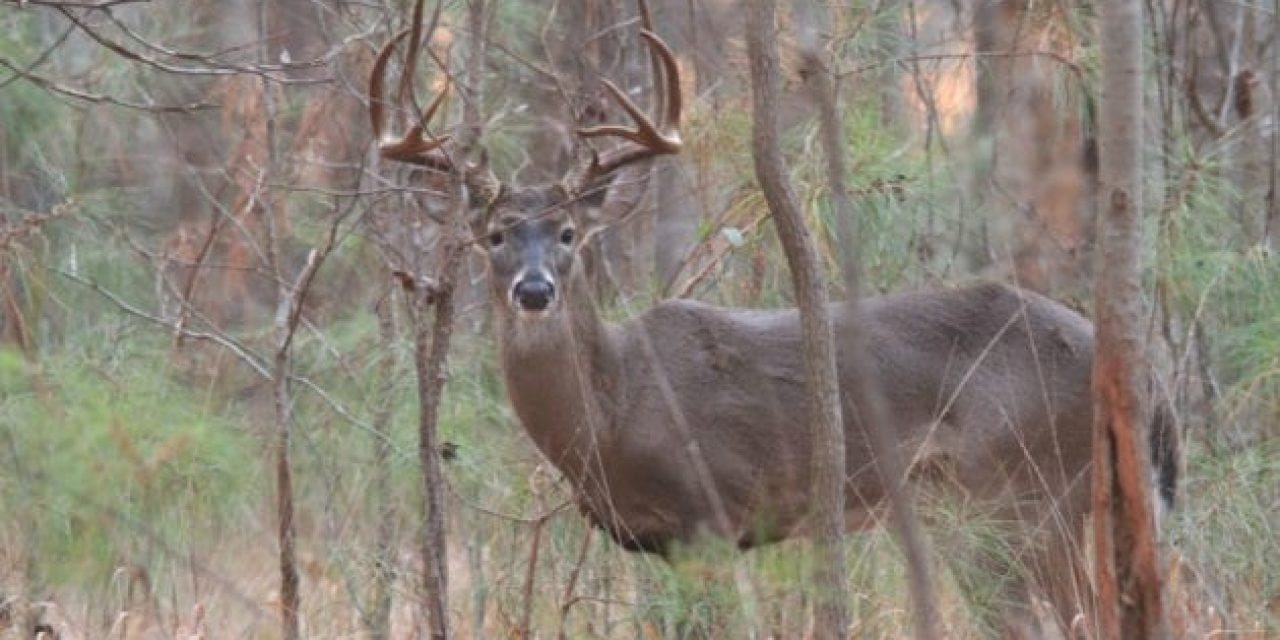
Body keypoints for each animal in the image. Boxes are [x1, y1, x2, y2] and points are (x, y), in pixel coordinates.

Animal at [368, 8, 1177, 634]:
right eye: (494, 235)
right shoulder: (653, 541)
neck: (612, 409)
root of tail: (1143, 379)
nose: (533, 290)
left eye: (569, 235)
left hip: (1022, 495)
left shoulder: (710, 516)